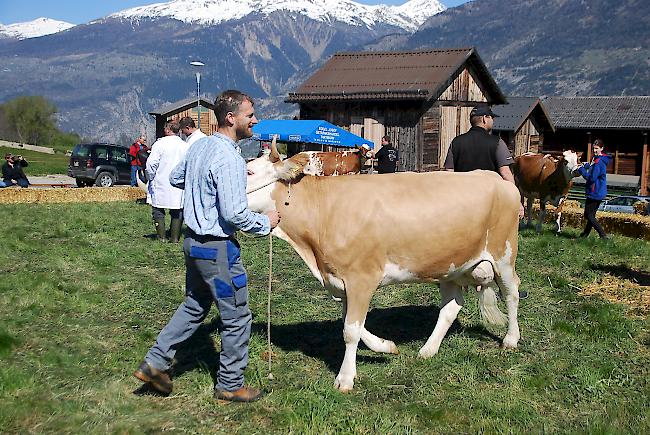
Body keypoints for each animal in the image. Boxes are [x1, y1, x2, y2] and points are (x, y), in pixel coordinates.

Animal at [244, 142, 520, 392]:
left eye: (249, 172)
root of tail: (494, 177)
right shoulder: (342, 281)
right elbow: (349, 322)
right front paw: (386, 346)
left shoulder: (362, 278)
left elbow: (350, 330)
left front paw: (345, 378)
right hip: (451, 266)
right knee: (451, 308)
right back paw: (428, 350)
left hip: (504, 254)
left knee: (512, 293)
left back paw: (510, 339)